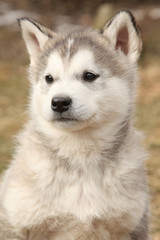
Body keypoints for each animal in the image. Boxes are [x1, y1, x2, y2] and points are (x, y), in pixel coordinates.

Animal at [0, 10, 149, 239]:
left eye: (89, 76)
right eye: (49, 78)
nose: (59, 102)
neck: (80, 154)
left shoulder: (131, 226)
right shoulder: (14, 223)